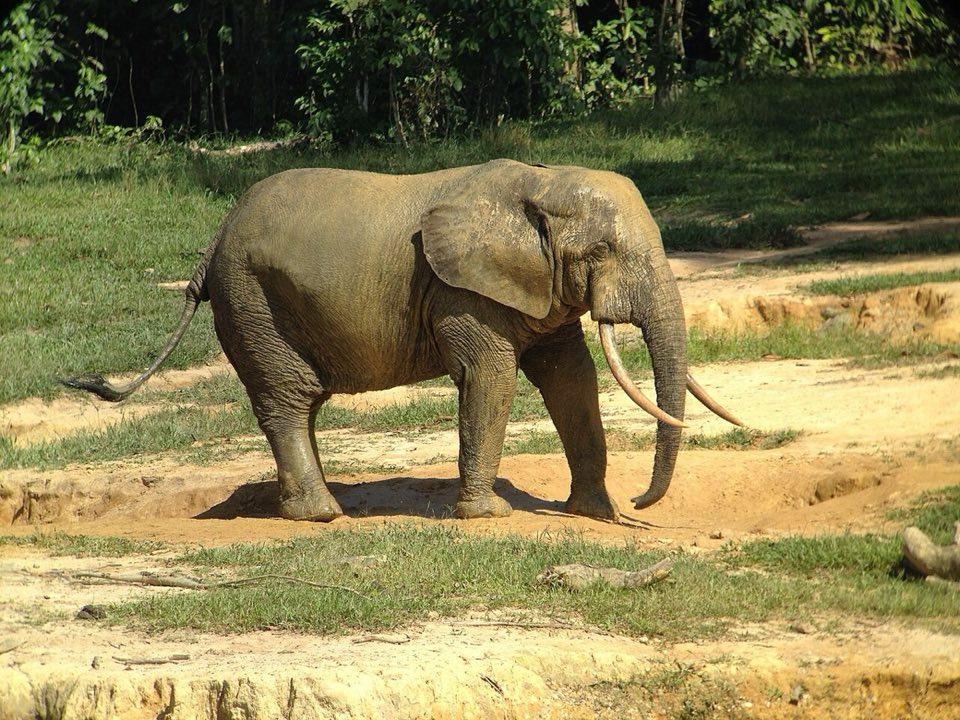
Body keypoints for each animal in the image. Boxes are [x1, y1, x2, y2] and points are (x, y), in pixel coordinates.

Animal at [63, 159, 741, 522]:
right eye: (602, 252)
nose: (641, 503)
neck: (539, 181)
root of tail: (210, 243)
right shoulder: (460, 290)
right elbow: (490, 377)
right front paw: (488, 516)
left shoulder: (533, 287)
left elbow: (571, 379)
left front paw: (596, 513)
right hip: (249, 297)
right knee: (287, 400)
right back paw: (322, 515)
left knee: (299, 402)